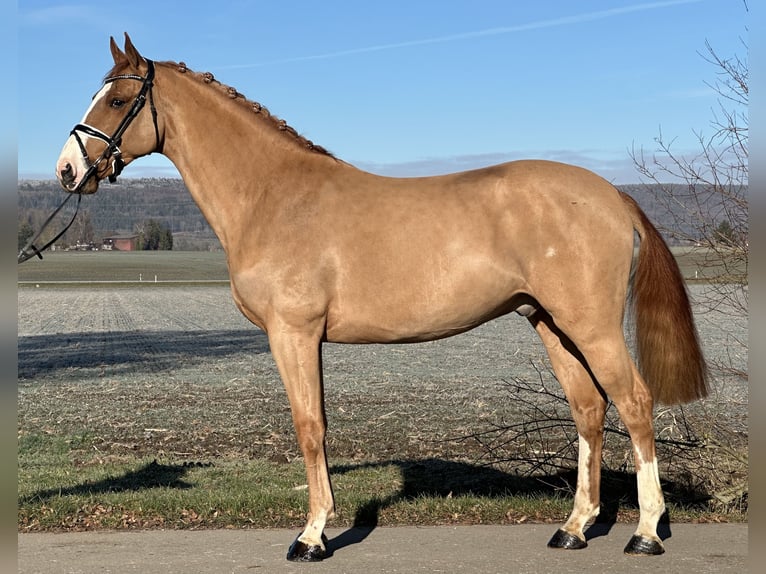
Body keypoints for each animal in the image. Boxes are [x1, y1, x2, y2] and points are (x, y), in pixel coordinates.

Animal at [55, 34, 708, 562]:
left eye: (117, 101)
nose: (66, 169)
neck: (273, 194)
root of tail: (612, 194)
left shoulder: (293, 334)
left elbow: (309, 426)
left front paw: (312, 537)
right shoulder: (305, 338)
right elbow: (316, 424)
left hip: (590, 325)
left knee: (636, 403)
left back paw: (645, 533)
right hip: (550, 323)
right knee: (589, 409)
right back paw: (573, 528)